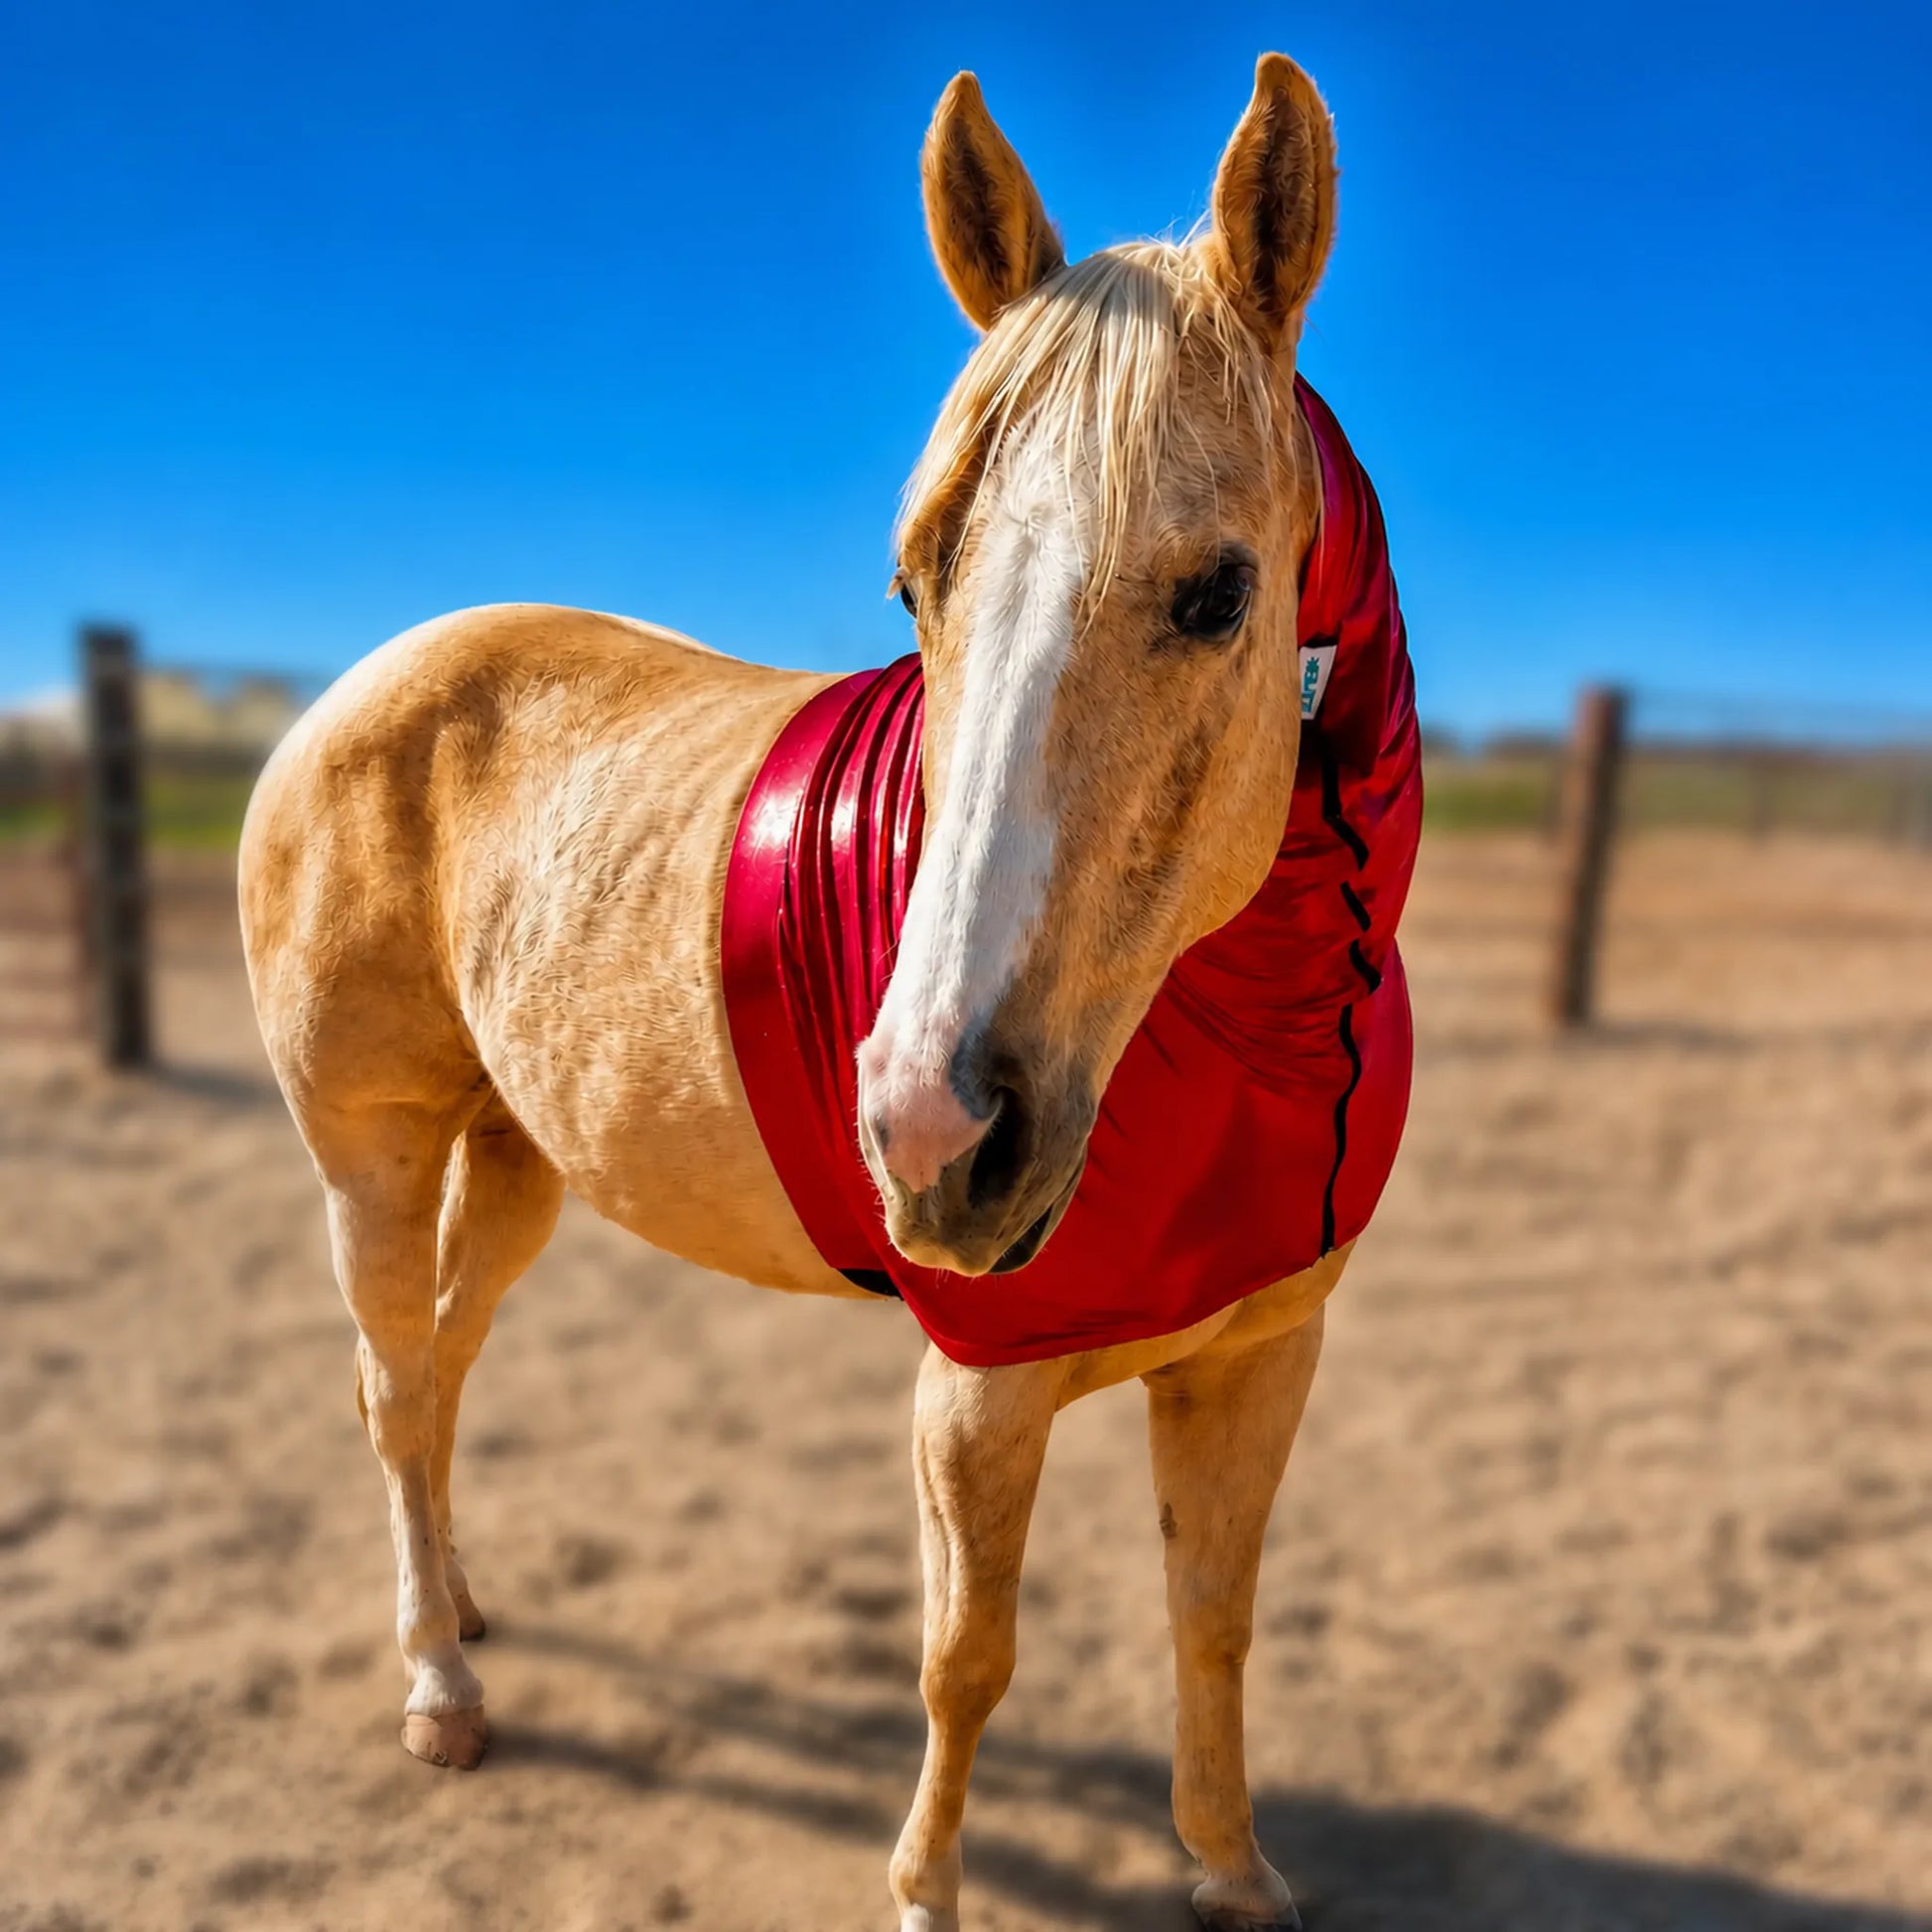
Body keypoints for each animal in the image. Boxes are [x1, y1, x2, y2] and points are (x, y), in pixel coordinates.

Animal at [240, 54, 1403, 1932]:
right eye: (917, 583)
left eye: (1219, 589)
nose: (929, 1130)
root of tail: (358, 686)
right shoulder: (979, 1394)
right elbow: (966, 1660)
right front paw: (926, 1890)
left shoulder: (1259, 1353)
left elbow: (1212, 1618)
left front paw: (1231, 1870)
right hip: (373, 1151)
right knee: (397, 1380)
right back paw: (440, 1684)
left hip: (517, 1156)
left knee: (431, 1368)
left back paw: (468, 1606)